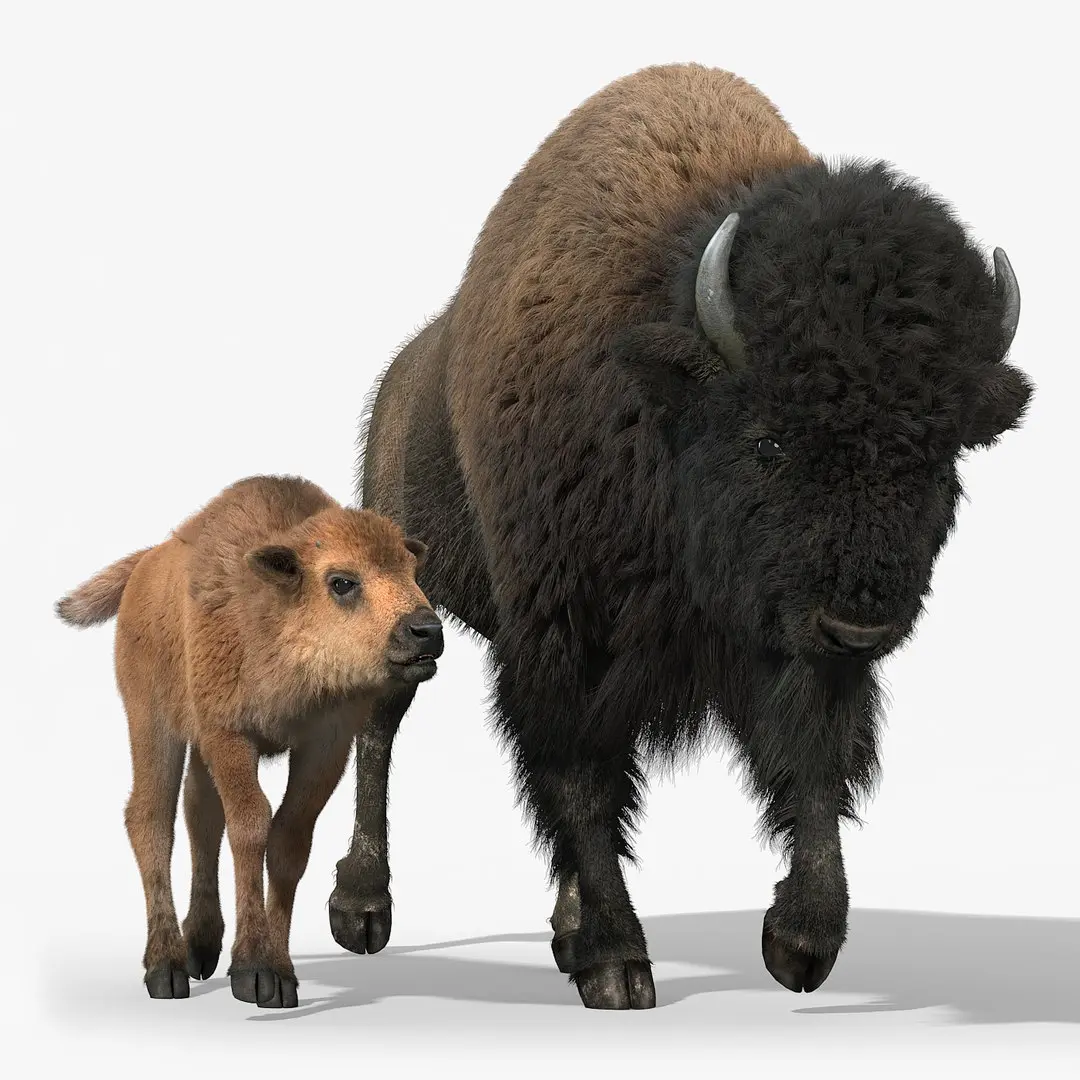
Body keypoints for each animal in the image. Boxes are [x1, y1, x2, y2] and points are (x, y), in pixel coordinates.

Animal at [327, 63, 1032, 1009]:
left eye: (940, 452)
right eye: (768, 440)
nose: (859, 624)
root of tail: (399, 381)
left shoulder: (794, 644)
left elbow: (815, 758)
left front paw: (801, 942)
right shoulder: (565, 637)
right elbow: (582, 779)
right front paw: (618, 966)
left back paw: (561, 929)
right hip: (404, 603)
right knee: (381, 727)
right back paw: (364, 910)